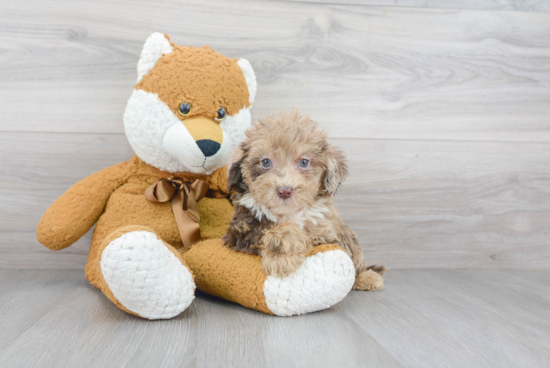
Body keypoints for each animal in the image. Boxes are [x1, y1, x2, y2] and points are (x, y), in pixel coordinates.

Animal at [222, 109, 386, 290]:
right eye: (265, 162)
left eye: (304, 162)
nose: (284, 190)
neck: (289, 214)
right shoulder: (241, 232)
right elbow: (273, 231)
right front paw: (282, 255)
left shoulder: (329, 234)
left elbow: (311, 234)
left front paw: (282, 256)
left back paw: (368, 277)